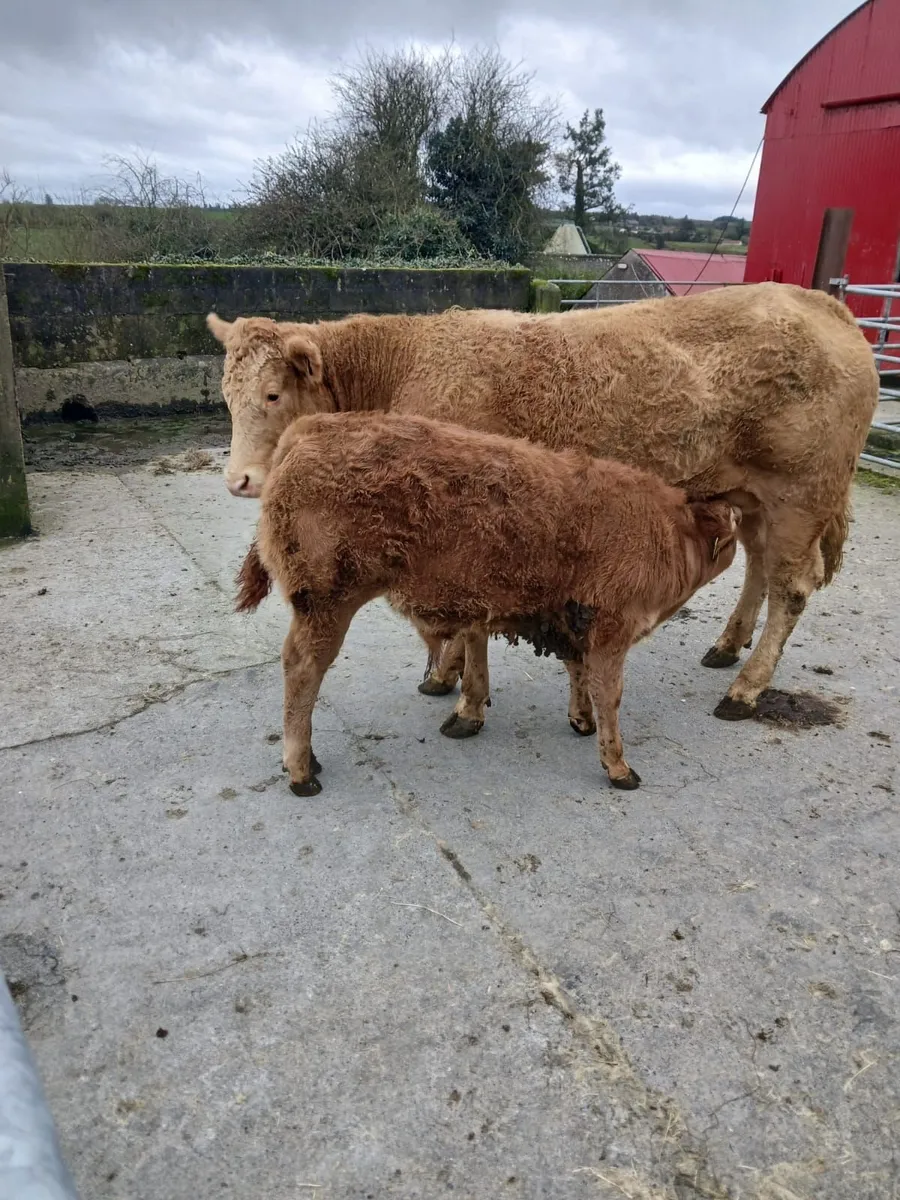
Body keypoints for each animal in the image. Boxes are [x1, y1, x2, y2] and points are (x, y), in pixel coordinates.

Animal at [208, 281, 878, 729]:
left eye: (272, 394)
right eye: (226, 396)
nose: (238, 480)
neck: (407, 364)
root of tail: (821, 303)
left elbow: (469, 616)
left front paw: (462, 692)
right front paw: (449, 676)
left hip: (801, 493)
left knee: (792, 586)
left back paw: (745, 689)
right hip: (756, 495)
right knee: (760, 567)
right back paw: (726, 646)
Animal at [235, 411, 740, 795]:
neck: (666, 529)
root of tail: (310, 427)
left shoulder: (571, 621)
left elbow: (577, 670)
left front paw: (580, 719)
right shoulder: (611, 631)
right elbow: (610, 695)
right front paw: (618, 766)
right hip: (327, 604)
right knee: (302, 668)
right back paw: (302, 770)